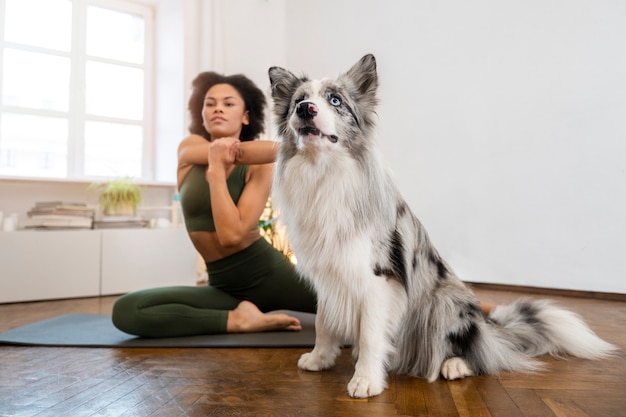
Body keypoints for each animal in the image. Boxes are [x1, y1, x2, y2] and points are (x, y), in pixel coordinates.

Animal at [264, 54, 616, 396]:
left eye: (335, 100)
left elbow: (370, 334)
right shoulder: (329, 271)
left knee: (479, 355)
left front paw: (365, 380)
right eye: (299, 100)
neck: (323, 173)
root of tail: (488, 329)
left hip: (443, 300)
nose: (305, 110)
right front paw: (319, 359)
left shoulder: (378, 278)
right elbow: (324, 322)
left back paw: (455, 364)